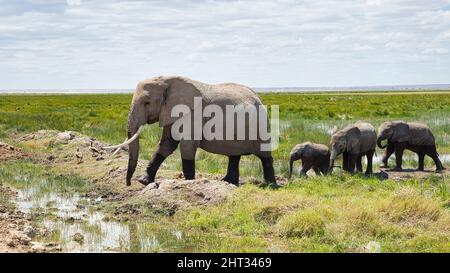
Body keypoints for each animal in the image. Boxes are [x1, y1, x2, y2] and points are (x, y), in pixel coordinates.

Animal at [106, 75, 274, 186]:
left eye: (147, 102)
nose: (128, 184)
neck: (167, 81)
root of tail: (258, 97)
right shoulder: (170, 113)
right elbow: (166, 145)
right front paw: (144, 181)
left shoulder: (192, 115)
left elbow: (187, 146)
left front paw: (189, 183)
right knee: (234, 155)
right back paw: (228, 182)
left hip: (261, 125)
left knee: (264, 155)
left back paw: (270, 185)